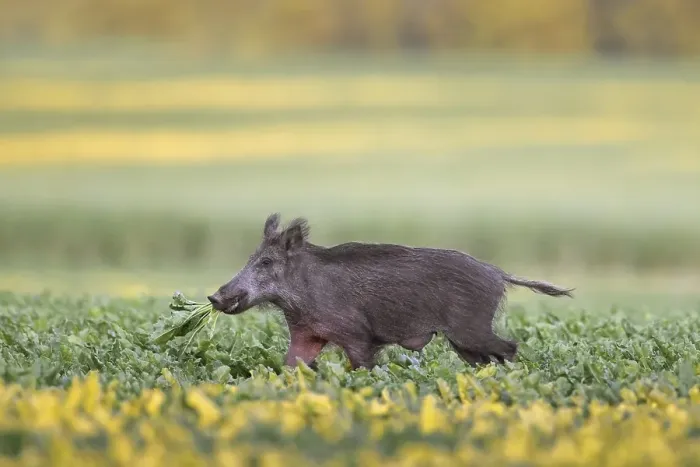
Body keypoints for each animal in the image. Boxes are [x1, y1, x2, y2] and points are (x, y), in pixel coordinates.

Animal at [208, 213, 573, 370]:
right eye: (252, 258)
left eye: (267, 261)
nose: (215, 297)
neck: (298, 301)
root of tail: (499, 273)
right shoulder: (307, 335)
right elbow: (290, 365)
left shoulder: (357, 336)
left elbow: (363, 368)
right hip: (464, 340)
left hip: (471, 329)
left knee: (510, 346)